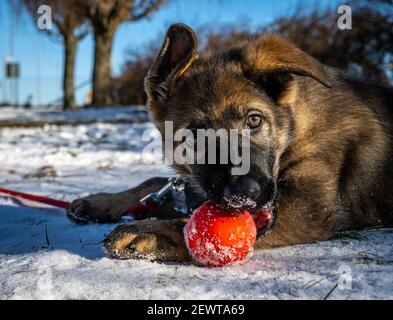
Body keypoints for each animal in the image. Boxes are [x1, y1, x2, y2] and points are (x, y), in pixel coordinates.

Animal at [67, 23, 392, 262]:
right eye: (194, 135)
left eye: (254, 120)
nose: (244, 193)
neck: (294, 129)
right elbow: (159, 181)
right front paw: (102, 201)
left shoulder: (308, 207)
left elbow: (189, 223)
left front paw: (152, 230)